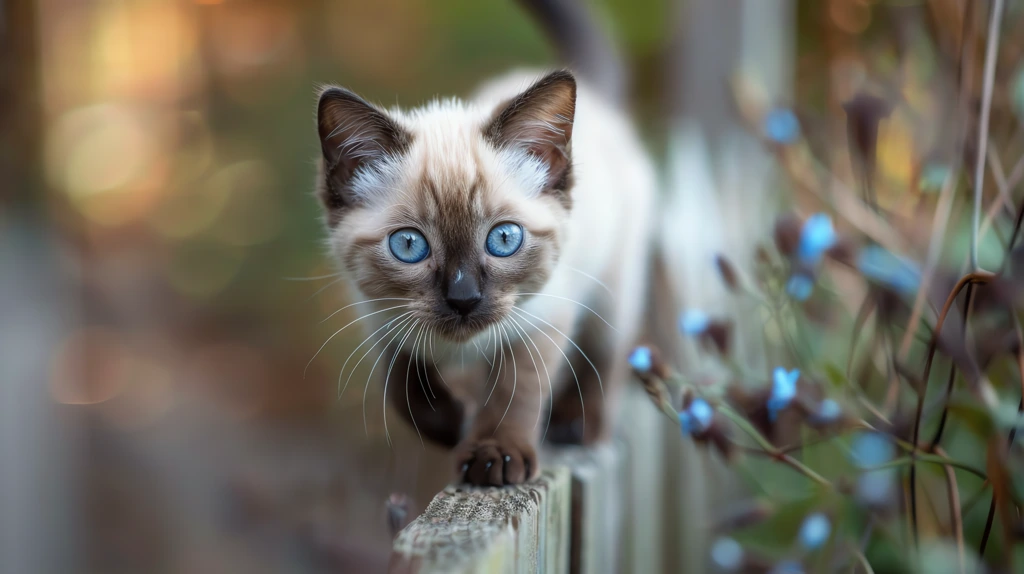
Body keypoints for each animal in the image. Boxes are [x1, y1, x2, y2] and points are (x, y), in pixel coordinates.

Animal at [315, 69, 655, 484]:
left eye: (504, 239)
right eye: (409, 245)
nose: (463, 298)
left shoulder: (540, 320)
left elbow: (514, 393)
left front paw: (495, 456)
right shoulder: (382, 321)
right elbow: (404, 390)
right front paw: (453, 425)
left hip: (613, 292)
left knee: (606, 358)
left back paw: (576, 427)